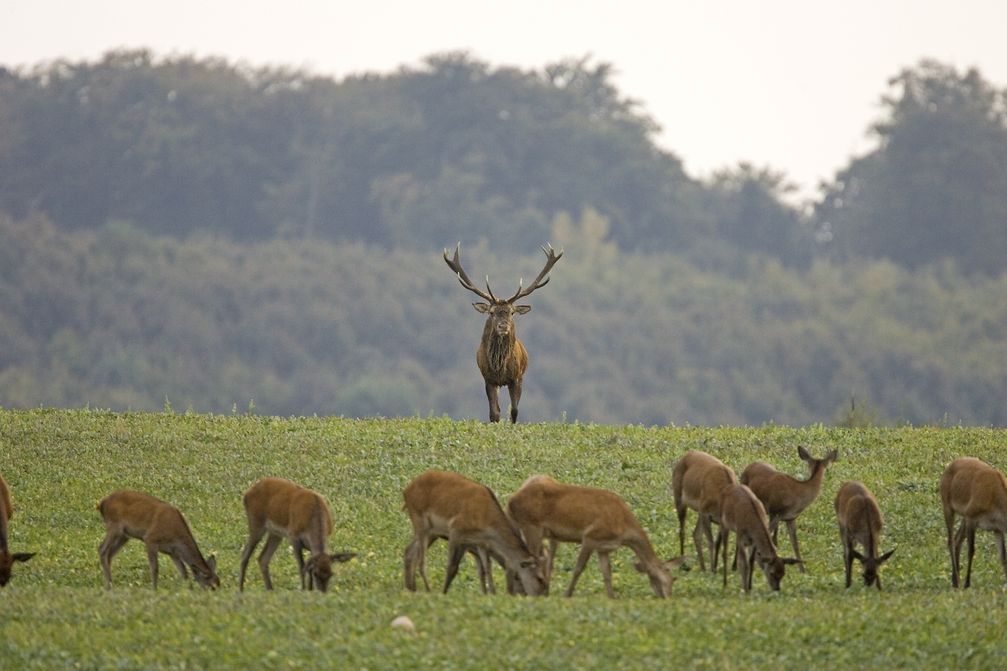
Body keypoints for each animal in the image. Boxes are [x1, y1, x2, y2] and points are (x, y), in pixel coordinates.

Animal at [400, 467, 547, 592]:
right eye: (540, 578)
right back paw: (428, 590)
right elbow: (452, 567)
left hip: (430, 531)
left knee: (409, 551)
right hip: (421, 522)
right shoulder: (456, 531)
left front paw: (491, 593)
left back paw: (411, 588)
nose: (521, 594)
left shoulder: (480, 543)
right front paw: (444, 592)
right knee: (421, 560)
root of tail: (406, 490)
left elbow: (486, 569)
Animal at [445, 240, 563, 421]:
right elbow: (494, 413)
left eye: (512, 312)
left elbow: (514, 410)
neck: (500, 367)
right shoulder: (489, 379)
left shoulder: (516, 377)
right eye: (491, 312)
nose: (503, 326)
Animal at [503, 469, 684, 596]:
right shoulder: (590, 537)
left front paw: (612, 597)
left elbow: (607, 573)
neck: (623, 528)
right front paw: (567, 594)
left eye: (673, 580)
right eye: (665, 578)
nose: (667, 597)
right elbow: (578, 568)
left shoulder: (603, 547)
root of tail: (511, 499)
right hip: (531, 526)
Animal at [934, 455, 1007, 584]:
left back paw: (955, 578)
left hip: (963, 516)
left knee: (957, 539)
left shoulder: (997, 528)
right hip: (948, 507)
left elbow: (1003, 557)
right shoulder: (972, 517)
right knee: (951, 541)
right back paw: (957, 581)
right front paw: (967, 583)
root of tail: (949, 465)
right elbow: (971, 551)